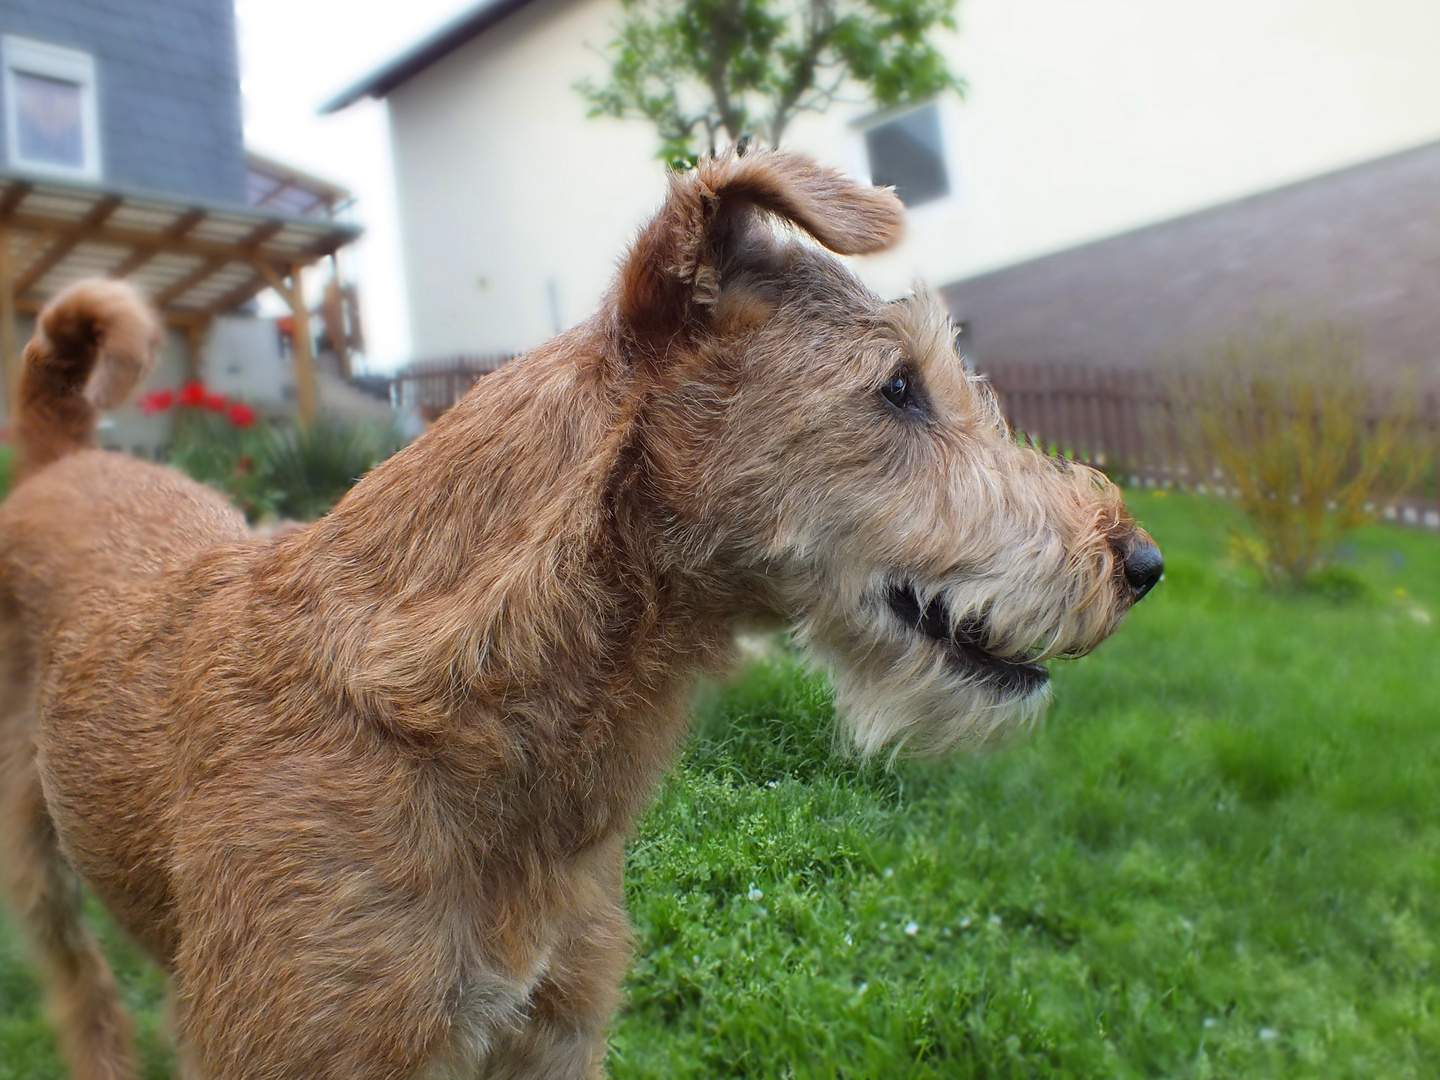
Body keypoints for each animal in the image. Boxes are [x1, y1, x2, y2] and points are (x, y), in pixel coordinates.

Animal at [0, 148, 1157, 1077]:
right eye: (899, 388)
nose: (1140, 560)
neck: (439, 704)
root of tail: (59, 456)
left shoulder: (554, 1025)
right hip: (34, 859)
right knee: (78, 988)